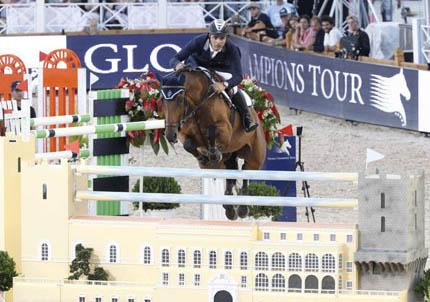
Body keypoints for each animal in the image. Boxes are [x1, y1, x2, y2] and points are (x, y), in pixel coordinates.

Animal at [163, 68, 268, 219]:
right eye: (162, 100)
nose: (170, 135)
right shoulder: (184, 134)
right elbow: (188, 144)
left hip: (255, 155)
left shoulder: (225, 130)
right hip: (229, 156)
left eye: (179, 99)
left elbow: (212, 131)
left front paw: (213, 154)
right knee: (231, 175)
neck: (199, 104)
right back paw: (230, 209)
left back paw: (242, 209)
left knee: (247, 171)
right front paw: (204, 157)